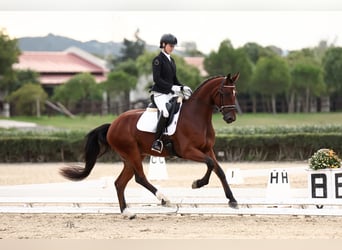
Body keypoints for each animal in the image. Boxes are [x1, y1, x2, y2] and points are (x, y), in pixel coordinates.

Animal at [60, 73, 239, 219]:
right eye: (224, 93)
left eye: (234, 93)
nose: (231, 118)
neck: (197, 116)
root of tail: (112, 125)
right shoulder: (187, 151)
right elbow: (210, 163)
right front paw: (197, 183)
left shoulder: (207, 149)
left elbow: (219, 170)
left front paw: (232, 200)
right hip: (131, 153)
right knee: (140, 177)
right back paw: (164, 199)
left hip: (133, 156)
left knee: (120, 183)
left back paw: (127, 212)